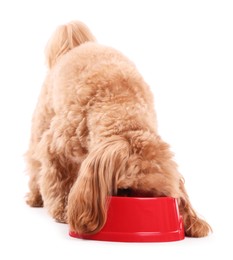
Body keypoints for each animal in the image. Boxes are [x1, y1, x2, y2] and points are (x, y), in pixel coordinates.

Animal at [25, 20, 211, 238]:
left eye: (154, 195)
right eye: (123, 189)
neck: (123, 109)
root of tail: (79, 46)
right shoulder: (55, 148)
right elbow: (57, 179)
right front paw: (63, 209)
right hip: (43, 120)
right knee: (34, 163)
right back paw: (35, 197)